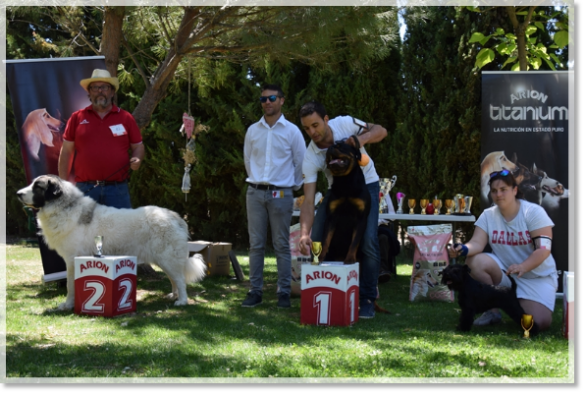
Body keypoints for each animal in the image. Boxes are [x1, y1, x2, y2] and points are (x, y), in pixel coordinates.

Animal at [17, 176, 205, 310]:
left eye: (37, 187)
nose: (18, 194)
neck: (64, 207)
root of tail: (175, 216)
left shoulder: (72, 260)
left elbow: (70, 286)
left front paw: (67, 305)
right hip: (164, 260)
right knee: (174, 279)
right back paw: (173, 295)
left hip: (167, 258)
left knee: (180, 279)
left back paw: (182, 301)